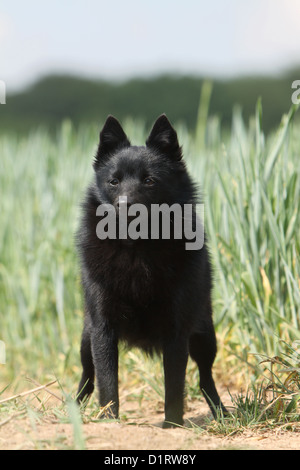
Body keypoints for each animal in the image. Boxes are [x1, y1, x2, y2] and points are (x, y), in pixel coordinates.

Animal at [76, 113, 226, 426]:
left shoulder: (177, 331)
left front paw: (172, 426)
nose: (124, 208)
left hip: (205, 337)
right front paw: (109, 421)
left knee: (206, 378)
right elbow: (107, 382)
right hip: (86, 340)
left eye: (149, 180)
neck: (137, 250)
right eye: (114, 181)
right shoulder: (102, 329)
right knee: (87, 378)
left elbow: (175, 385)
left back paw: (222, 413)